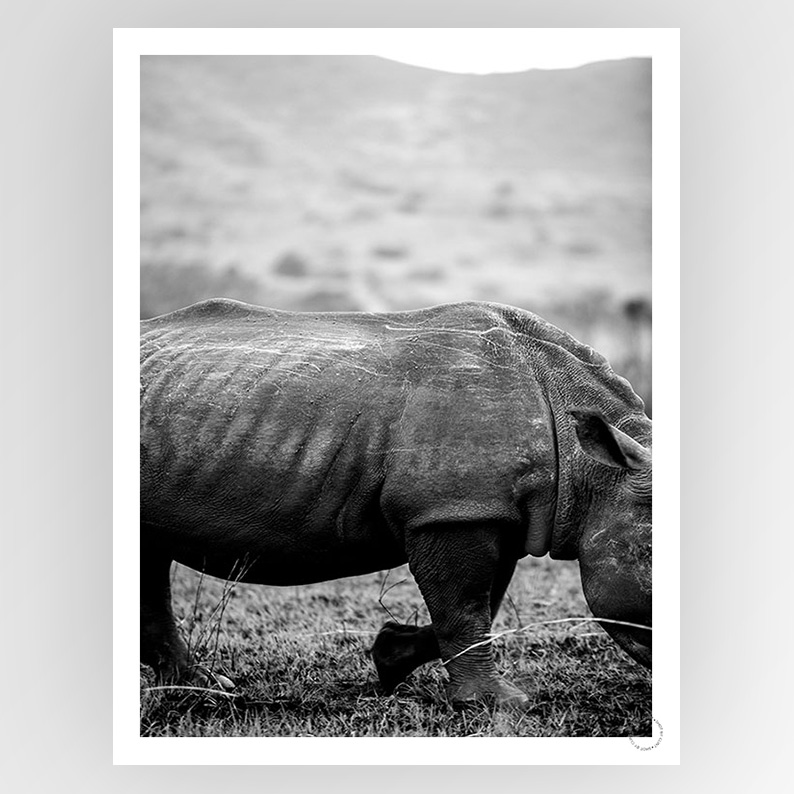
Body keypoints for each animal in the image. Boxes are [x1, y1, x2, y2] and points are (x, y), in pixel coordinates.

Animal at [140, 298, 651, 706]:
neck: (596, 472)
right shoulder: (450, 510)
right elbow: (465, 605)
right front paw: (498, 703)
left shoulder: (487, 509)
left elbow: (483, 601)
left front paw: (390, 658)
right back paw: (205, 688)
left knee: (151, 556)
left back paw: (199, 685)